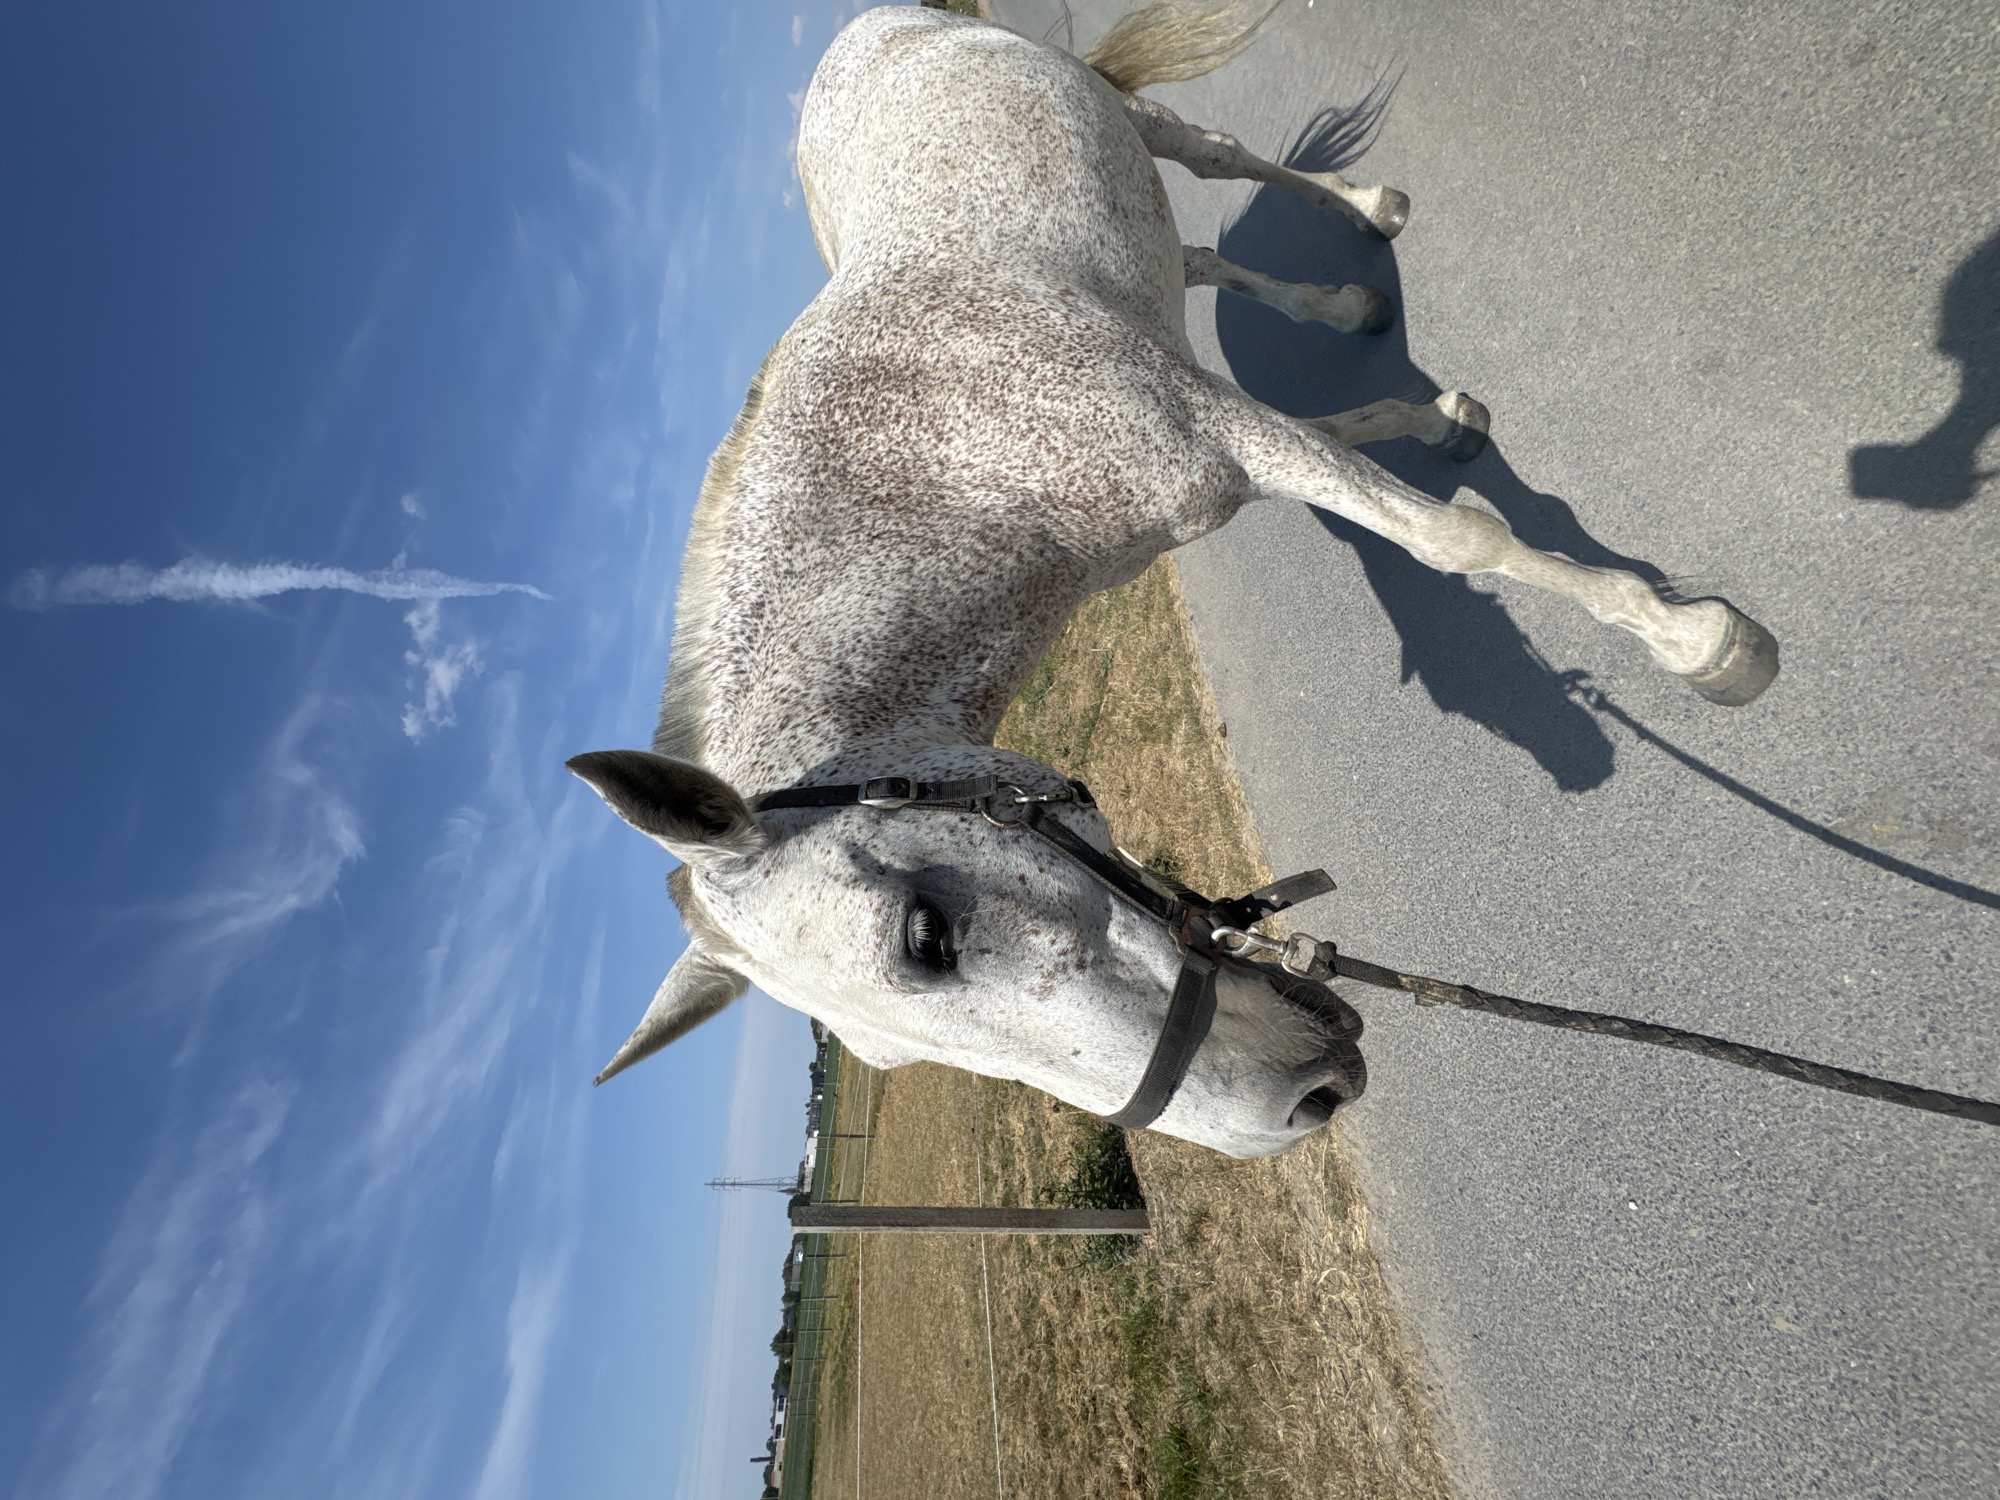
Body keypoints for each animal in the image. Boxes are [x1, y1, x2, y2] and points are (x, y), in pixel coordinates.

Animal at [567, 1, 1781, 1158]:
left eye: (925, 935)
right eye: (898, 1057)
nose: (1295, 1108)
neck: (938, 463)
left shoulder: (1219, 430)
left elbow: (1450, 541)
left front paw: (1700, 642)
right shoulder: (1224, 454)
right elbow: (1362, 451)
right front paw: (1433, 418)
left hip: (1149, 130)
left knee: (1220, 158)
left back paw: (1371, 212)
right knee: (1196, 256)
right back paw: (1345, 308)